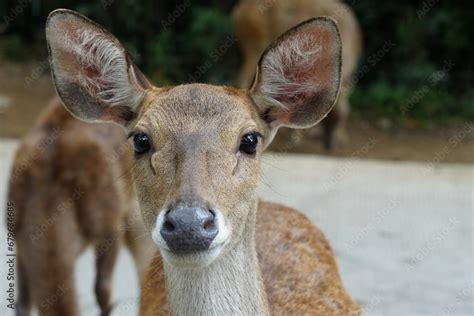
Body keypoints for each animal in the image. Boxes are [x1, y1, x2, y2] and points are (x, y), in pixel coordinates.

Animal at [231, 0, 362, 150]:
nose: (329, 146)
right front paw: (295, 139)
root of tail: (238, 11)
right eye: (328, 120)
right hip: (254, 45)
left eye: (338, 120)